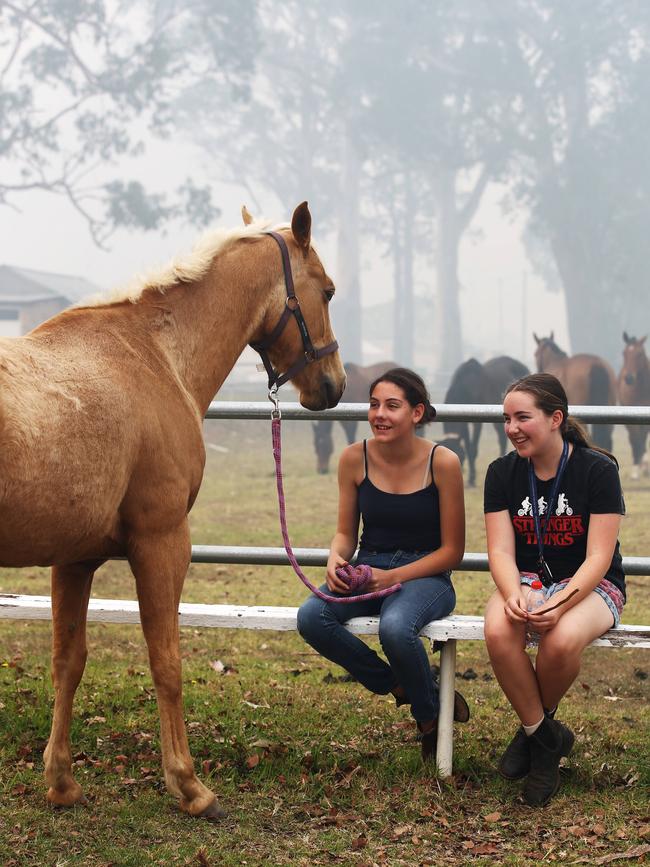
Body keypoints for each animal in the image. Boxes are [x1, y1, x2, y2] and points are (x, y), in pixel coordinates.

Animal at [0, 202, 344, 820]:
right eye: (326, 291)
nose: (333, 384)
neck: (154, 356)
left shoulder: (74, 559)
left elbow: (68, 661)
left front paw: (61, 782)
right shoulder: (163, 544)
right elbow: (167, 663)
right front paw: (189, 786)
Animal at [440, 354, 528, 488]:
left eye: (461, 456)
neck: (466, 385)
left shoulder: (477, 420)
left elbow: (472, 449)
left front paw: (472, 480)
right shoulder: (463, 420)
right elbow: (467, 444)